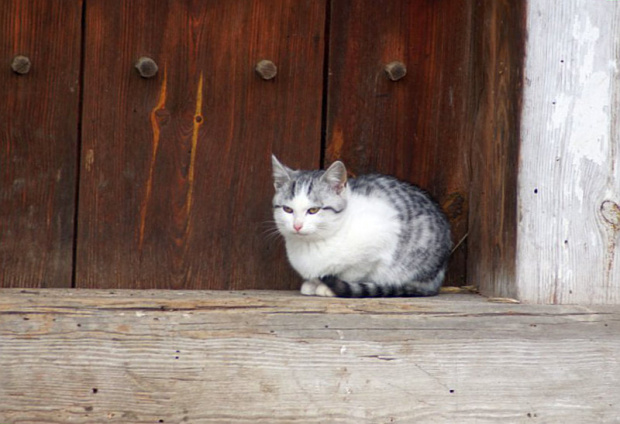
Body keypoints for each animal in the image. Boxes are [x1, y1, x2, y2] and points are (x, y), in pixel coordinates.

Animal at [270, 156, 450, 298]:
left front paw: (326, 287)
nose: (297, 225)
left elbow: (352, 273)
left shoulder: (379, 240)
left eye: (313, 210)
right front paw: (313, 283)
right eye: (287, 209)